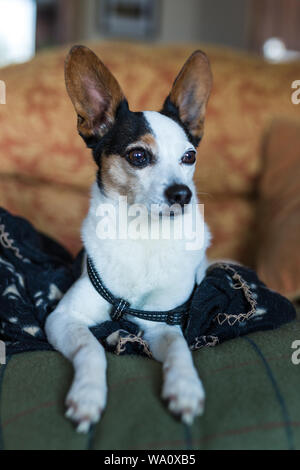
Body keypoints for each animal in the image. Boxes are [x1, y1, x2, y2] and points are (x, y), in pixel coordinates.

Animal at [45, 45, 213, 434]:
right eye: (138, 156)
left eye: (190, 157)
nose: (183, 194)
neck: (143, 235)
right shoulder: (64, 319)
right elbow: (91, 348)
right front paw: (88, 394)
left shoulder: (160, 324)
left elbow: (180, 349)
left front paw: (185, 387)